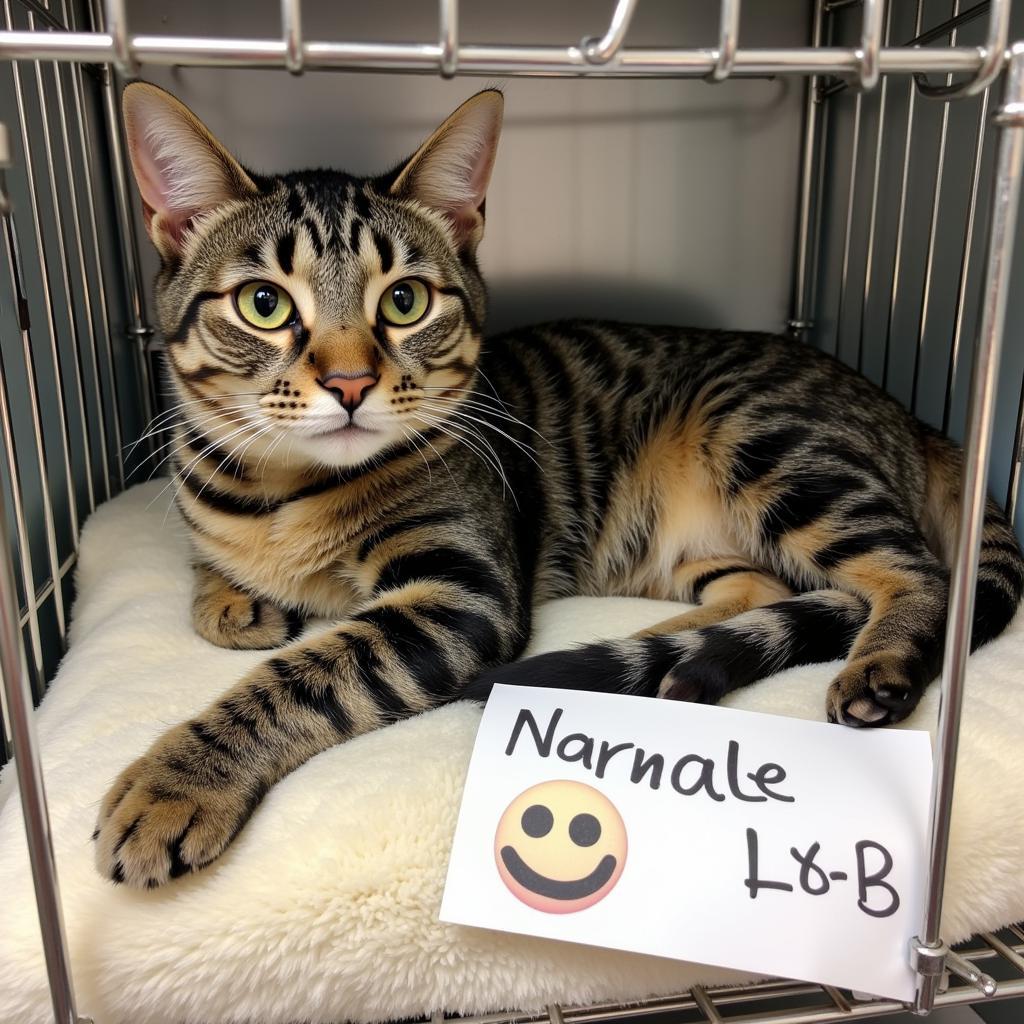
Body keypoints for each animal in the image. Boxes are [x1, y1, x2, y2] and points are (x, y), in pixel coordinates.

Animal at [92, 83, 1019, 888]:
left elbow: (308, 673)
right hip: (703, 542)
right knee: (769, 590)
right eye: (262, 304)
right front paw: (232, 599)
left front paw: (179, 778)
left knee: (913, 572)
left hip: (770, 443)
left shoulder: (458, 592)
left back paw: (878, 664)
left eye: (404, 301)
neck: (280, 486)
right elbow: (211, 573)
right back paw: (664, 660)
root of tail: (911, 415)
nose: (351, 383)